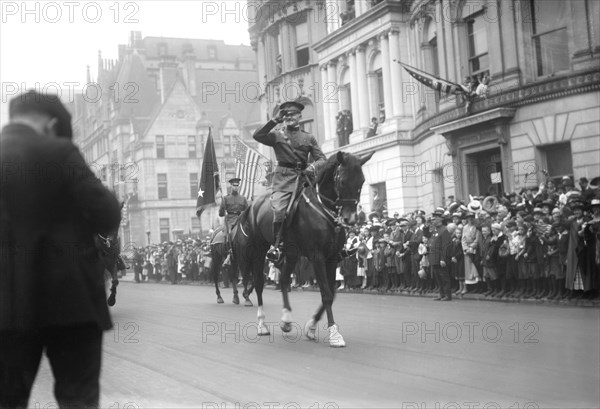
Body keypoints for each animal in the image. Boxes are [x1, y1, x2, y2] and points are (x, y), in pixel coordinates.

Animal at [233, 151, 370, 346]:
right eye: (343, 181)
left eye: (362, 181)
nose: (350, 219)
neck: (322, 210)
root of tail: (252, 205)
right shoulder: (317, 257)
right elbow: (327, 294)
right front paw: (334, 334)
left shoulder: (331, 258)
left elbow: (331, 293)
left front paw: (311, 327)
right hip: (259, 250)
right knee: (259, 283)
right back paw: (262, 324)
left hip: (292, 254)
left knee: (283, 280)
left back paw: (286, 320)